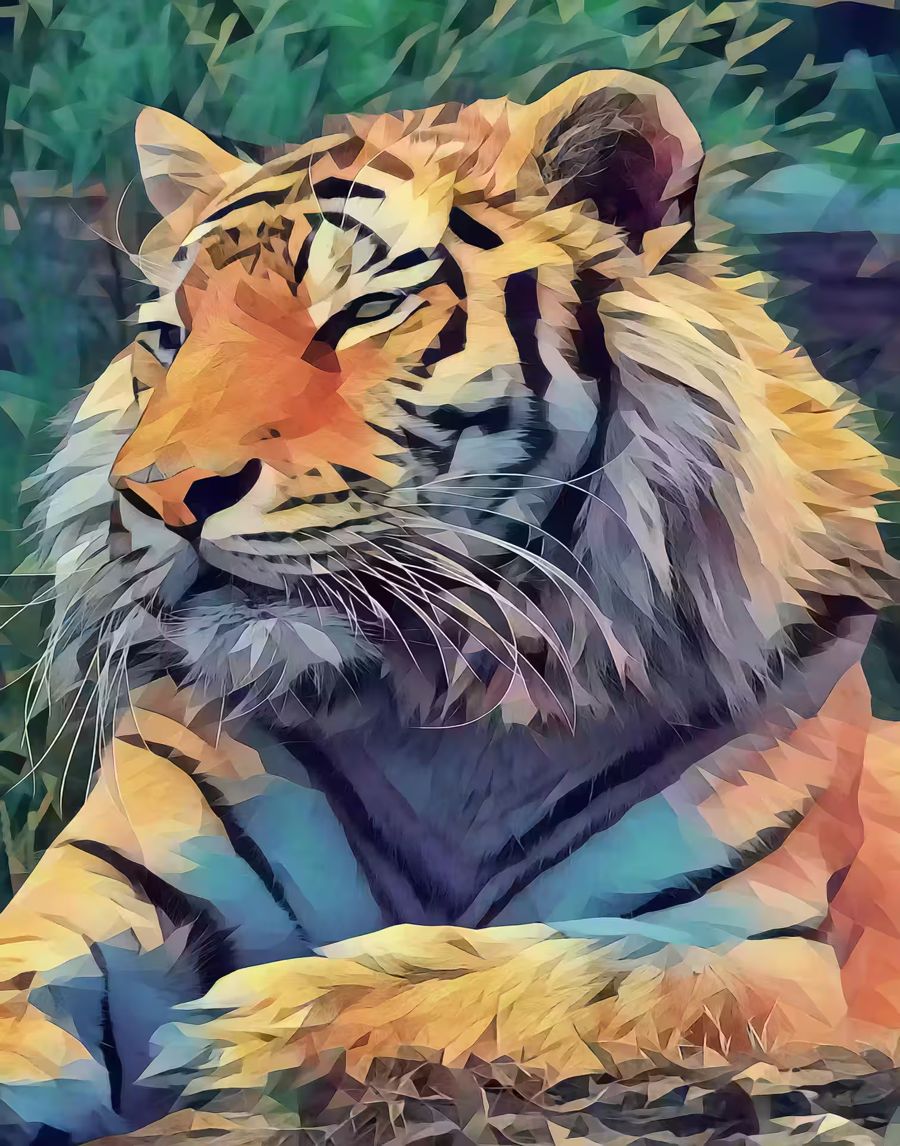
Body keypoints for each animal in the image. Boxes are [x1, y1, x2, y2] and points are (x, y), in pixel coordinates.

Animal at [1, 68, 899, 1144]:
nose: (161, 495)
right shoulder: (106, 887)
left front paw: (251, 1027)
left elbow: (566, 974)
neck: (451, 710)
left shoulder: (763, 952)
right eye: (169, 339)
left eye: (367, 311)